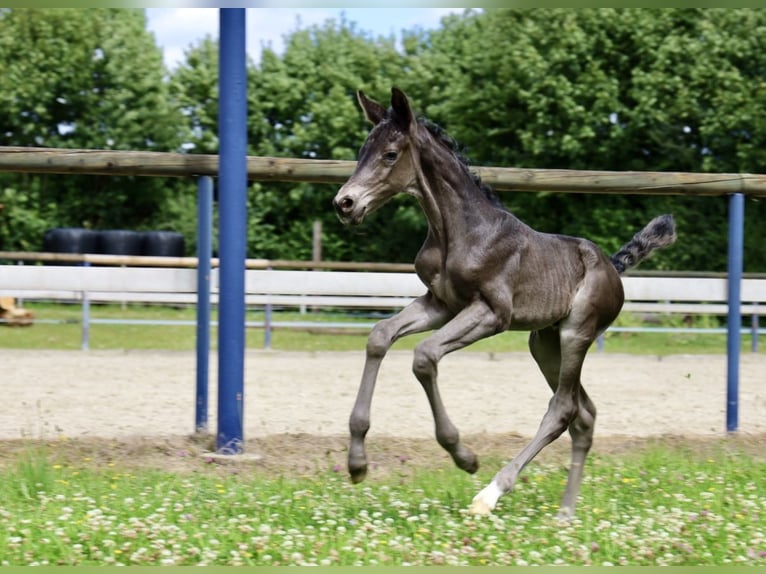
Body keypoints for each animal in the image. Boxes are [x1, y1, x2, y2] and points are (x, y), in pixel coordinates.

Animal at [332, 88, 676, 520]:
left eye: (390, 154)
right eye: (362, 151)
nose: (344, 203)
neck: (459, 232)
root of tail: (613, 267)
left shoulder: (492, 313)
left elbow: (424, 356)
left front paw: (463, 455)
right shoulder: (440, 304)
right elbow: (379, 336)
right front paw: (357, 463)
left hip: (576, 332)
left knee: (562, 409)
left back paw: (489, 494)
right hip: (544, 343)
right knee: (585, 415)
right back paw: (565, 513)